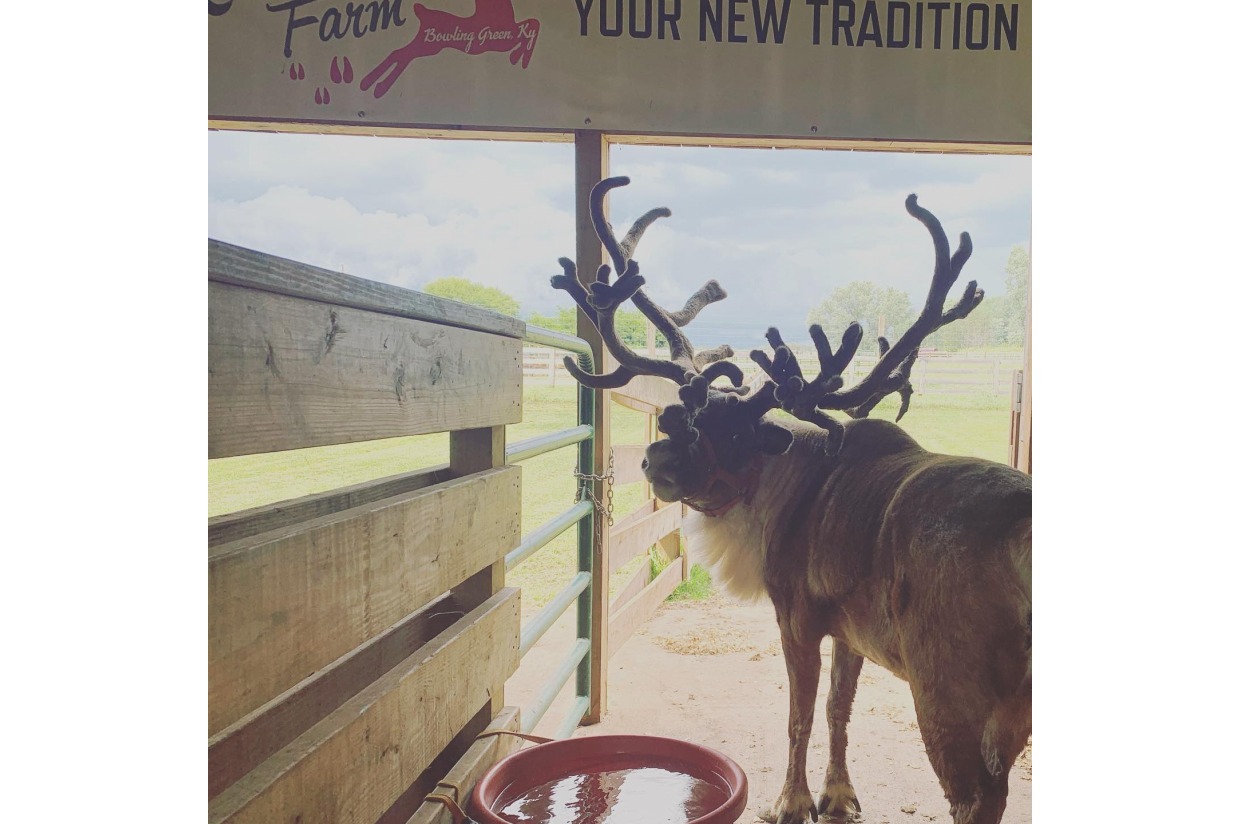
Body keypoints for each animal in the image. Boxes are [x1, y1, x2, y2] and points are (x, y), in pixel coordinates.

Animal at [551, 177, 1032, 824]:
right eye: (681, 416)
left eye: (734, 434)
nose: (654, 460)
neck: (782, 484)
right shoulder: (851, 630)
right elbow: (837, 711)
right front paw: (838, 795)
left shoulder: (797, 616)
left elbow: (798, 717)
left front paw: (790, 800)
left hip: (946, 688)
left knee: (976, 797)